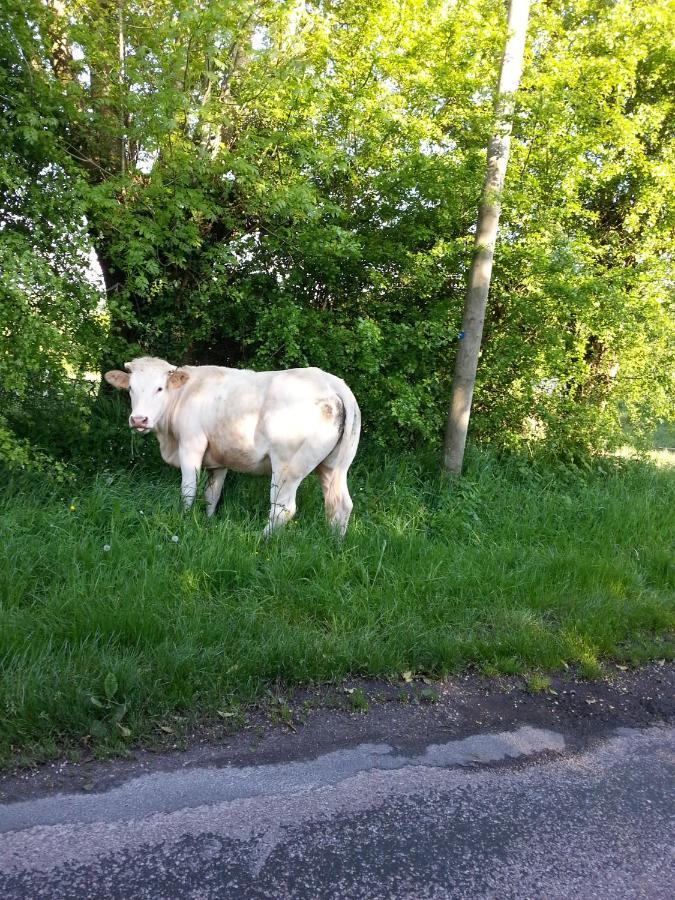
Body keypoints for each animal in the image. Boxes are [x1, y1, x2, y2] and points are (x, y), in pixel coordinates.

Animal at [105, 356, 362, 536]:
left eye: (159, 388)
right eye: (131, 389)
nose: (139, 420)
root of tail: (332, 383)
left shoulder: (191, 444)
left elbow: (188, 490)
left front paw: (184, 521)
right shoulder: (218, 460)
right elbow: (212, 493)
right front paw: (208, 522)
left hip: (288, 465)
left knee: (283, 508)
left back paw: (262, 540)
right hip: (334, 466)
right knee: (339, 505)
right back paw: (334, 543)